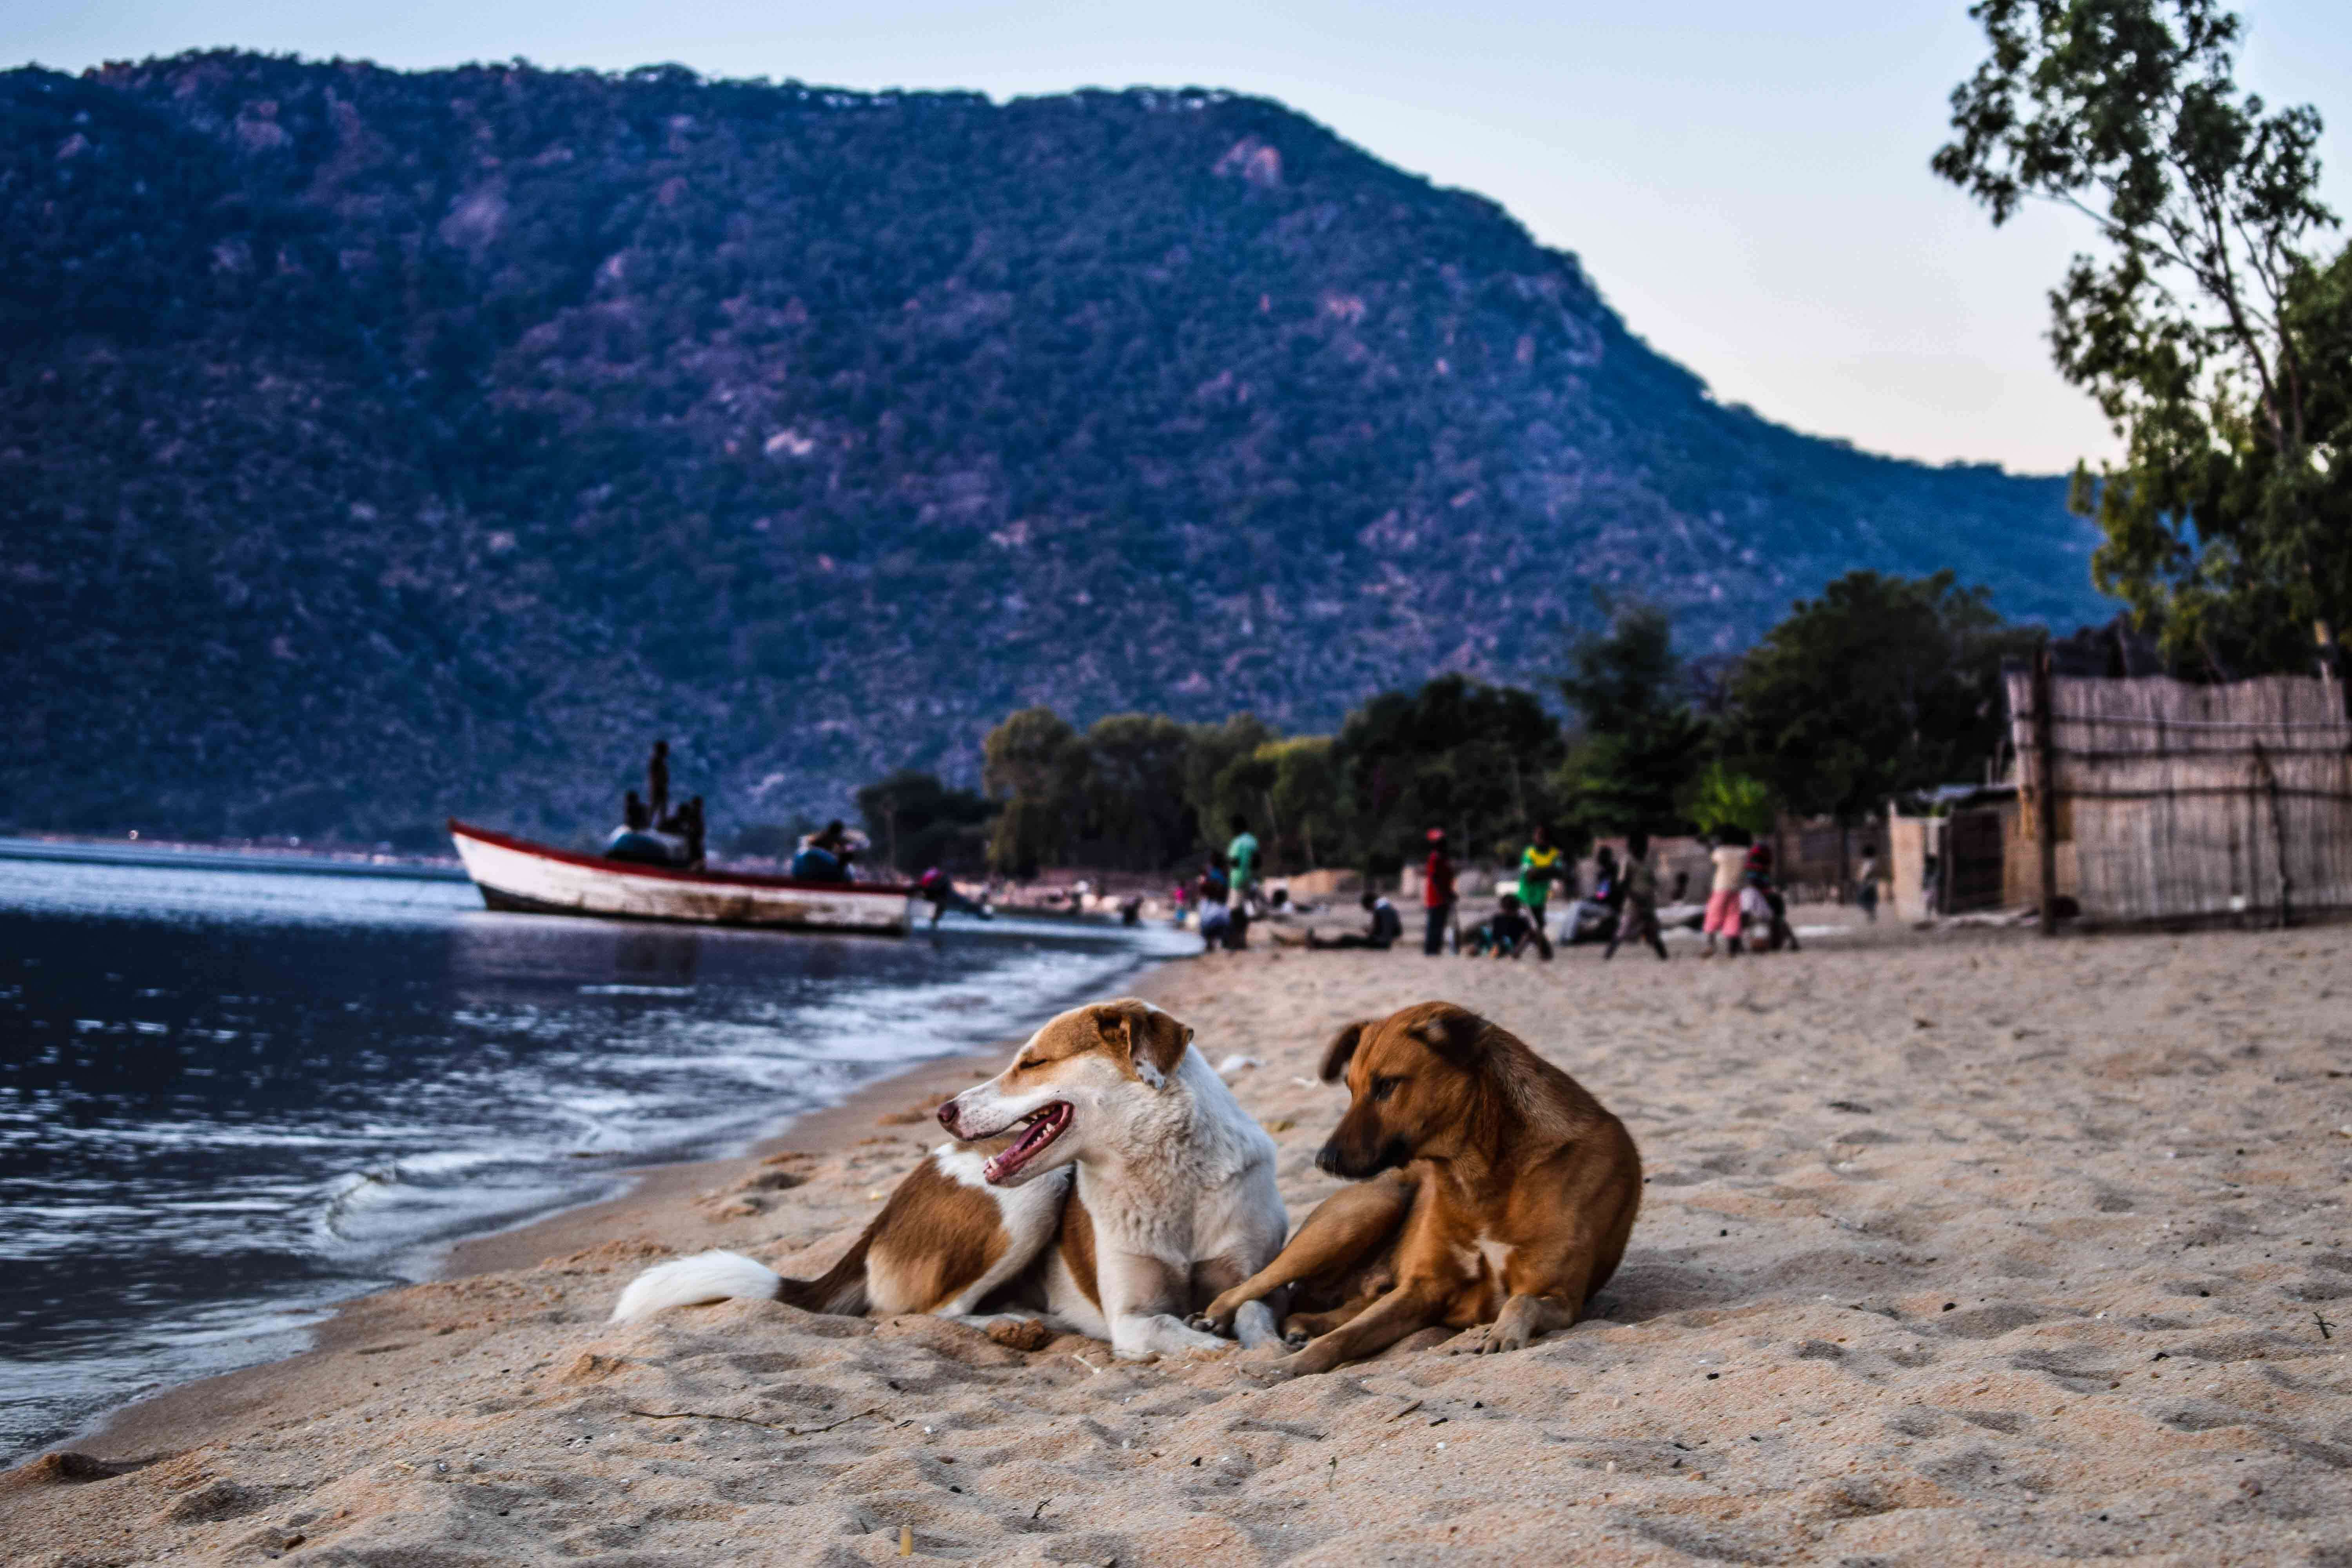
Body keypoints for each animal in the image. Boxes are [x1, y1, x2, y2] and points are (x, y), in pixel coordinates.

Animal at [607, 1006, 1289, 1363]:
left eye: (1032, 1062)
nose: (943, 1111)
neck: (1168, 1178)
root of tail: (881, 1217)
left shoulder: (1249, 1277)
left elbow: (1256, 1322)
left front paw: (1270, 1346)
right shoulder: (1133, 1319)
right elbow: (1197, 1340)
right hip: (1031, 1199)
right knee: (926, 1314)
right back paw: (1012, 1324)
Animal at [1195, 1006, 1637, 1373]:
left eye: (1387, 1085)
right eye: (1351, 1089)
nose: (1323, 1160)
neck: (1484, 1174)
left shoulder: (1561, 1298)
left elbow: (1521, 1300)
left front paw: (1503, 1333)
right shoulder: (1423, 1289)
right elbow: (1344, 1338)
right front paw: (1285, 1367)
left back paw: (1304, 1324)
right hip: (1365, 1209)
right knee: (1260, 1280)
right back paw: (1220, 1313)